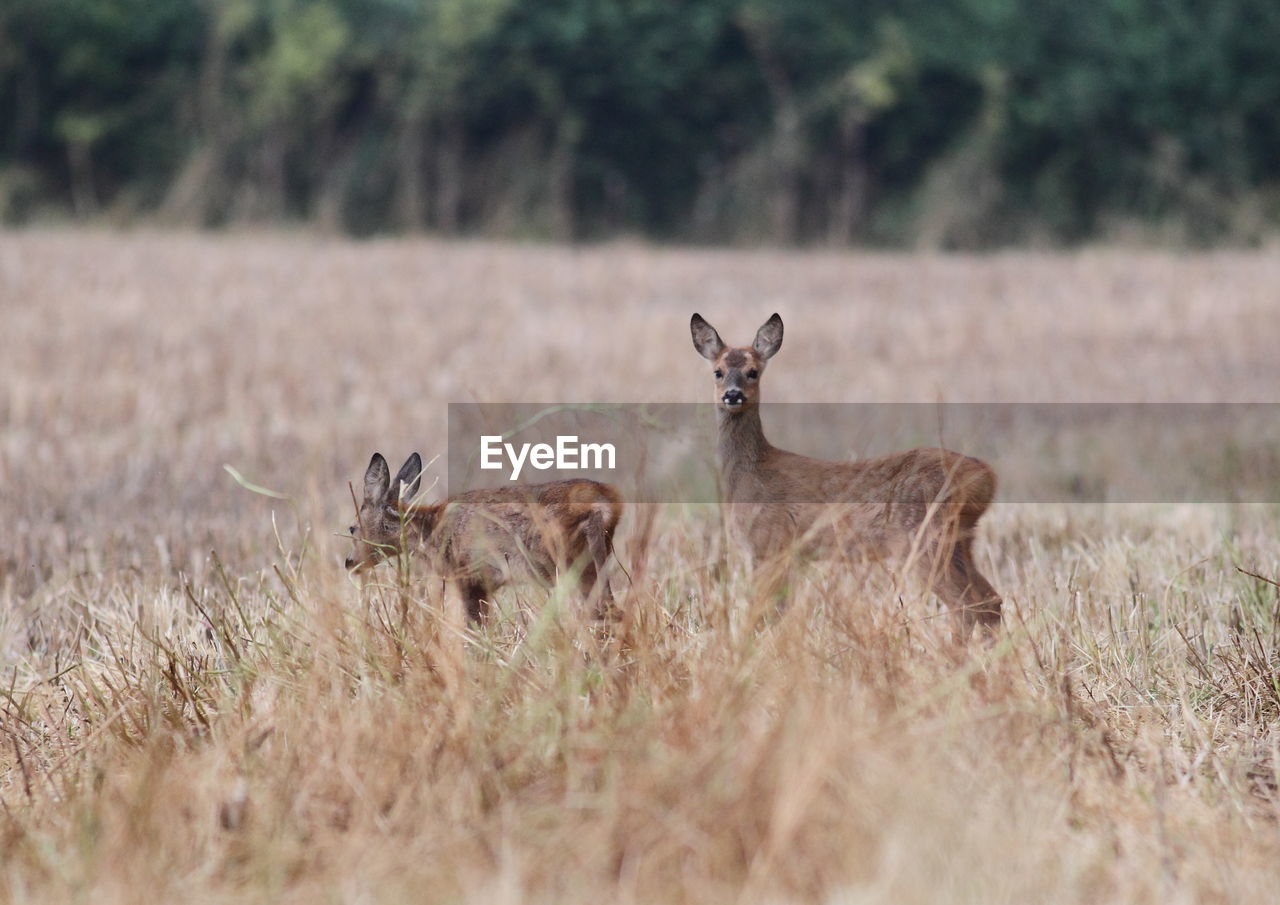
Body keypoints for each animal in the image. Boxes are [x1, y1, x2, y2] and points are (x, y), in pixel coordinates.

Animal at [345, 450, 624, 622]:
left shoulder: (470, 577)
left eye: (352, 528)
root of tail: (606, 504)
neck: (429, 531)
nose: (349, 562)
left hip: (570, 560)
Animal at [691, 311, 998, 637]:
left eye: (753, 372)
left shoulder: (770, 543)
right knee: (990, 601)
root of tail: (986, 476)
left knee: (967, 606)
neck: (750, 473)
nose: (732, 395)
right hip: (960, 540)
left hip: (926, 538)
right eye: (718, 371)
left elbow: (766, 612)